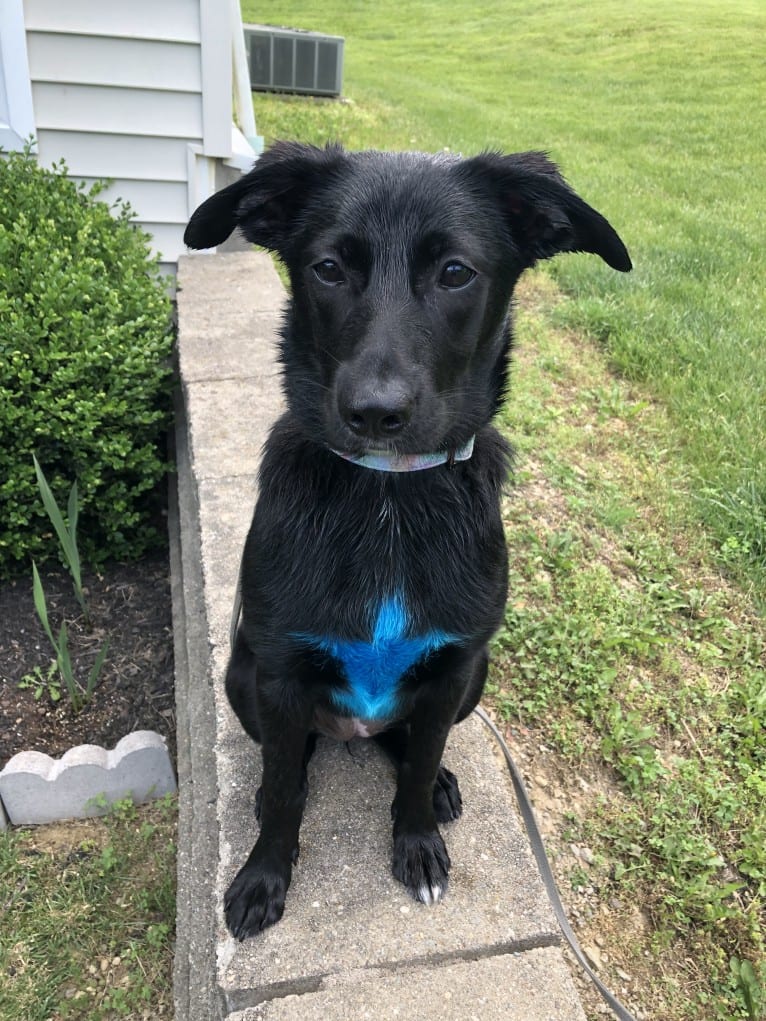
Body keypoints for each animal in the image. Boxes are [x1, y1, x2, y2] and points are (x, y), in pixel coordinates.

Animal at [184, 143, 629, 939]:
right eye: (329, 268)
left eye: (455, 272)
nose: (374, 413)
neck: (389, 493)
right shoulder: (279, 671)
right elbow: (286, 791)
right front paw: (263, 875)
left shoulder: (454, 667)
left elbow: (418, 766)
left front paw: (418, 839)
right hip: (242, 675)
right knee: (293, 758)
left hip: (473, 677)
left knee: (413, 739)